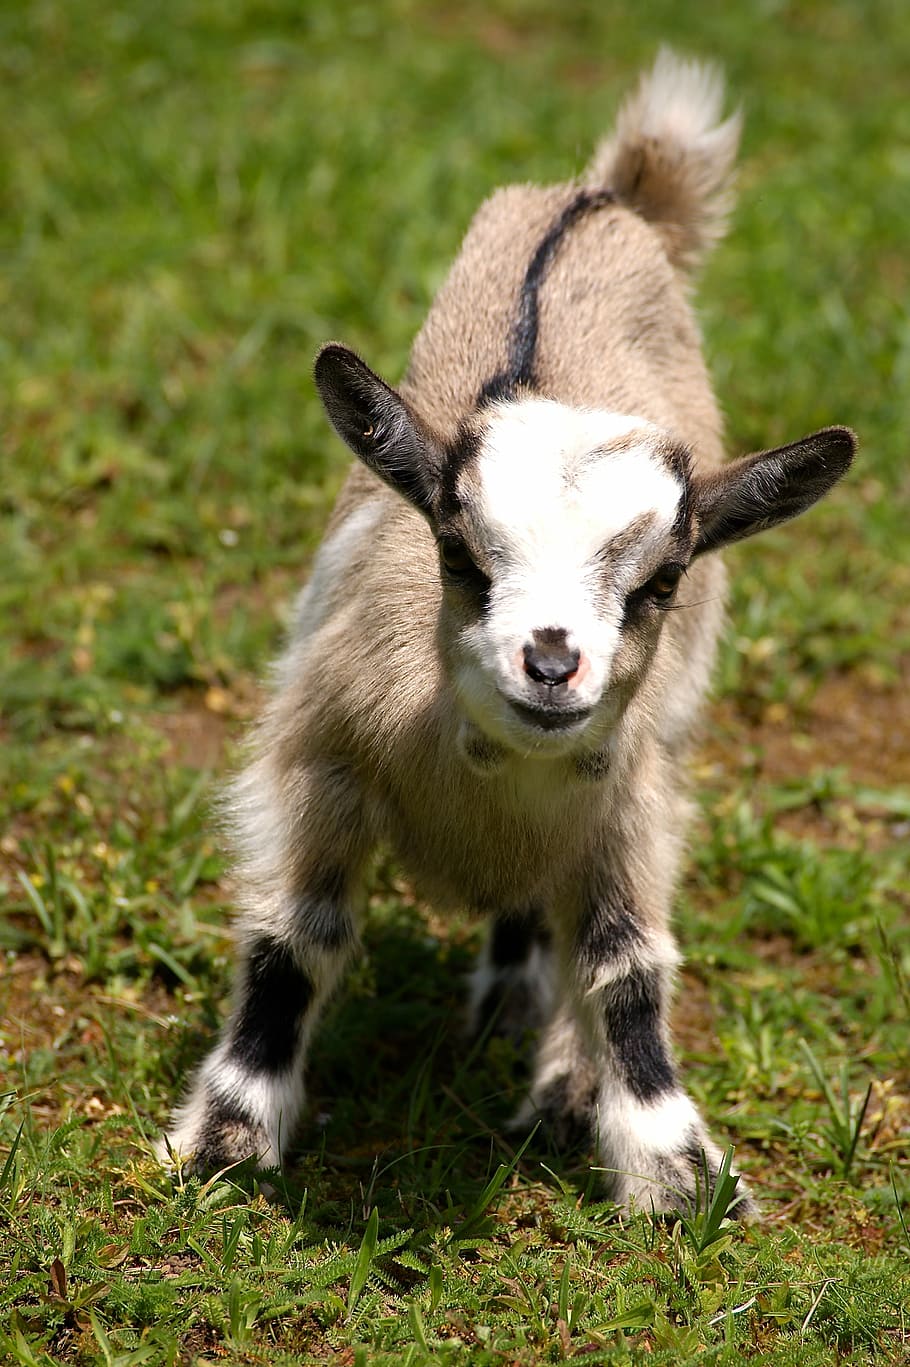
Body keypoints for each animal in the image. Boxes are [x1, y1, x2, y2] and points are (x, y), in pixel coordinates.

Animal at [161, 50, 852, 1219]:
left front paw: (674, 1173)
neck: (486, 782)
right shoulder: (316, 760)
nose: (551, 661)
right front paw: (224, 1138)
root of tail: (606, 196)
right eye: (458, 549)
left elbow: (626, 970)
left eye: (663, 578)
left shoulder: (630, 805)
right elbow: (295, 940)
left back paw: (558, 1069)